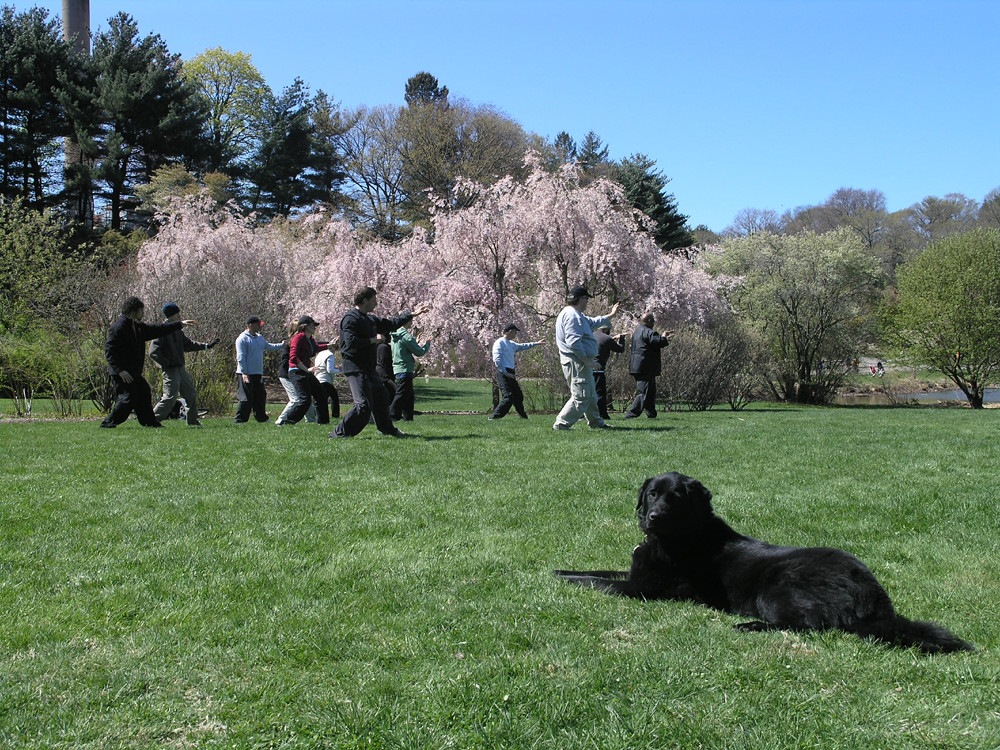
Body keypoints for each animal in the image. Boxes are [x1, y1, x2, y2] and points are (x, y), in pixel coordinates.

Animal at [552, 472, 972, 656]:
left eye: (676, 498)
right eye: (652, 494)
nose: (653, 517)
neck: (680, 539)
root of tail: (877, 599)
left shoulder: (645, 590)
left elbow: (596, 581)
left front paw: (560, 579)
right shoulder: (636, 572)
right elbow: (599, 569)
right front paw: (558, 568)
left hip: (778, 586)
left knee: (811, 625)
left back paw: (748, 625)